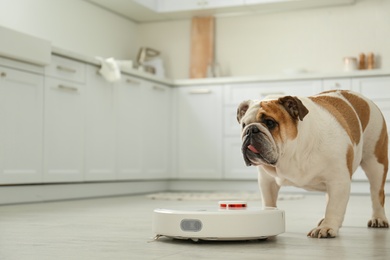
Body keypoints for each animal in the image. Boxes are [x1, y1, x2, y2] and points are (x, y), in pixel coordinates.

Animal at [236, 89, 388, 238]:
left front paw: (327, 227)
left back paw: (378, 218)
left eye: (270, 122)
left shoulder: (339, 181)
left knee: (377, 194)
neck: (292, 154)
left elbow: (334, 207)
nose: (250, 129)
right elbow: (269, 201)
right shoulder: (267, 181)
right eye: (243, 125)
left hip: (376, 164)